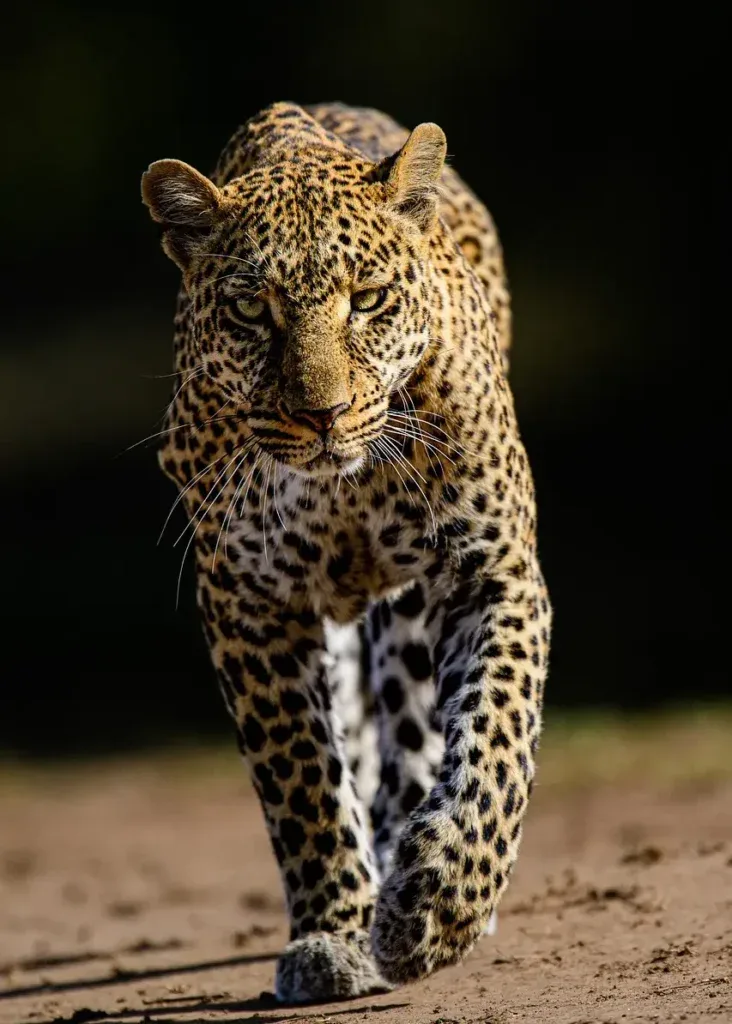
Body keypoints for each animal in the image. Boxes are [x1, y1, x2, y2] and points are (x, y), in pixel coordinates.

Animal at [141, 101, 551, 1004]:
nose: (321, 414)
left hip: (410, 614)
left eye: (366, 300)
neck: (345, 489)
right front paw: (333, 934)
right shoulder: (248, 603)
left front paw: (438, 905)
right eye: (251, 312)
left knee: (418, 730)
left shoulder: (492, 572)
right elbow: (302, 777)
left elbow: (495, 741)